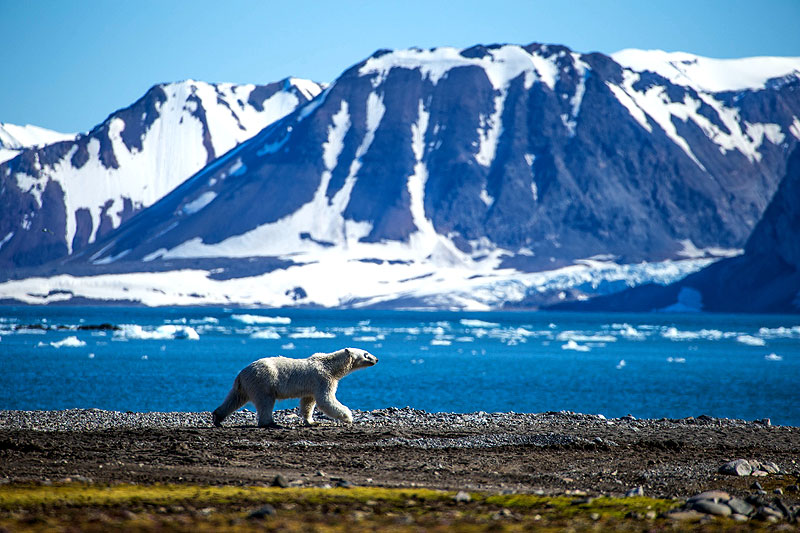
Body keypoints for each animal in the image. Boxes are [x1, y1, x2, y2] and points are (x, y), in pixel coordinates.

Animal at [211, 348, 376, 426]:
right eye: (366, 353)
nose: (376, 359)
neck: (330, 366)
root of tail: (242, 373)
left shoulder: (312, 386)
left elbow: (308, 402)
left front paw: (311, 421)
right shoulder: (323, 379)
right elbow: (326, 400)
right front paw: (348, 417)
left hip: (245, 385)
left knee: (234, 399)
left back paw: (217, 417)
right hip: (263, 381)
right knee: (265, 402)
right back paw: (270, 423)